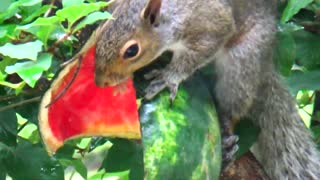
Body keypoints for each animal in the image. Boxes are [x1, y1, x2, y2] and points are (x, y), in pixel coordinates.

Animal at [94, 0, 320, 179]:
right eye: (99, 34)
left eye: (132, 51)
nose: (100, 81)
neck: (172, 16)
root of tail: (265, 63)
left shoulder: (211, 24)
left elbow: (195, 55)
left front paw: (169, 77)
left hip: (241, 60)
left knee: (235, 103)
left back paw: (227, 138)